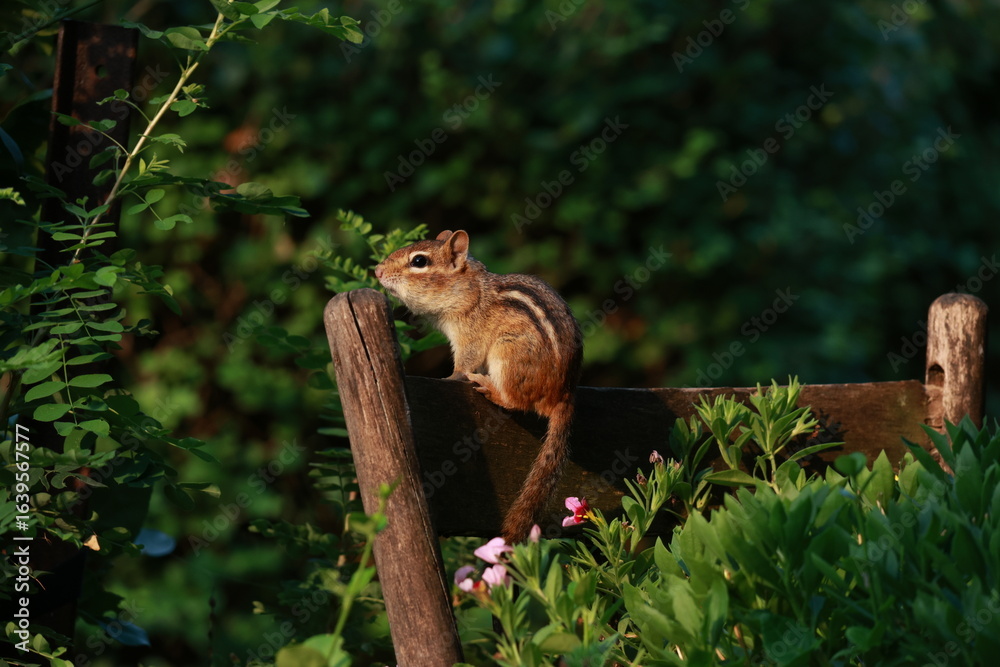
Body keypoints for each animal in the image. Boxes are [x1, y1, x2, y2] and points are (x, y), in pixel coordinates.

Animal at [375, 230, 582, 543]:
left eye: (419, 261)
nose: (377, 270)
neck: (468, 289)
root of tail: (562, 395)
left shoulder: (469, 335)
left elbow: (464, 363)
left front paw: (450, 379)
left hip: (507, 354)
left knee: (516, 402)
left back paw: (489, 386)